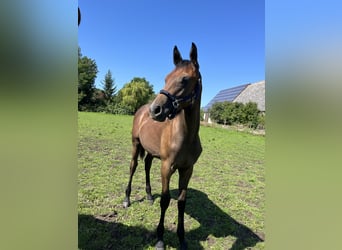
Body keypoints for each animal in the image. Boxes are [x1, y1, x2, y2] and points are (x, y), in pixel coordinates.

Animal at [123, 42, 202, 249]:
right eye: (166, 78)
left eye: (185, 79)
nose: (155, 110)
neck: (186, 136)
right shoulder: (167, 167)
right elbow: (165, 201)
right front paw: (159, 239)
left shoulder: (187, 169)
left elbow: (181, 202)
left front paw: (182, 239)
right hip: (135, 145)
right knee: (133, 166)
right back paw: (126, 199)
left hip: (151, 152)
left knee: (147, 166)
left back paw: (150, 195)